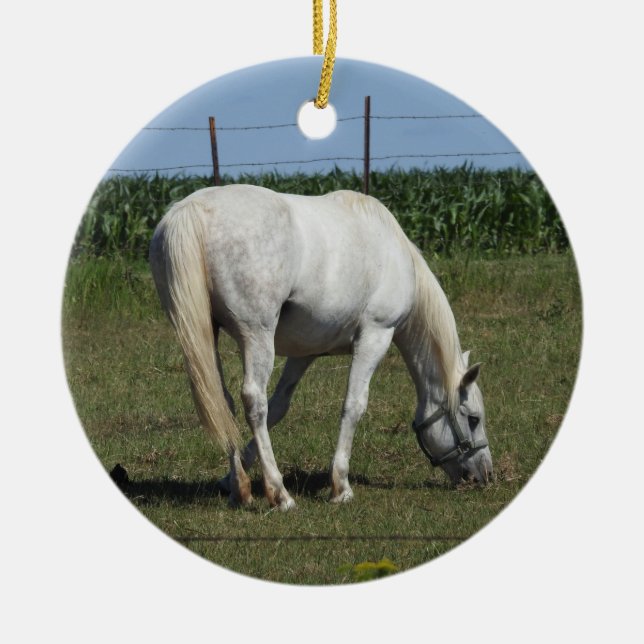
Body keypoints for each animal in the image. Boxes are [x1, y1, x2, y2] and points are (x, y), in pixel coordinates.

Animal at [149, 184, 492, 510]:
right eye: (473, 419)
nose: (485, 475)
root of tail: (193, 209)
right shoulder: (375, 335)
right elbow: (353, 405)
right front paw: (340, 486)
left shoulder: (305, 352)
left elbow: (279, 406)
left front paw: (229, 478)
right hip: (257, 336)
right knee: (253, 401)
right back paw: (280, 494)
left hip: (207, 335)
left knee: (223, 403)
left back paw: (240, 489)